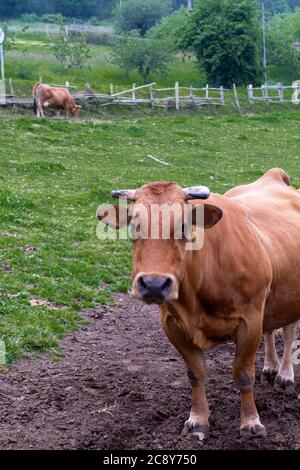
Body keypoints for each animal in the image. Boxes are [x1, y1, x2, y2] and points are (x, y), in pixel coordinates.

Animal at [96, 169, 300, 436]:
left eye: (184, 225)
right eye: (133, 225)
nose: (153, 284)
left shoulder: (250, 319)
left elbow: (244, 374)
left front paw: (251, 422)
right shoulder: (172, 324)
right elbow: (195, 374)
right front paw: (198, 419)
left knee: (288, 331)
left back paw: (285, 374)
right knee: (271, 330)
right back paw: (271, 367)